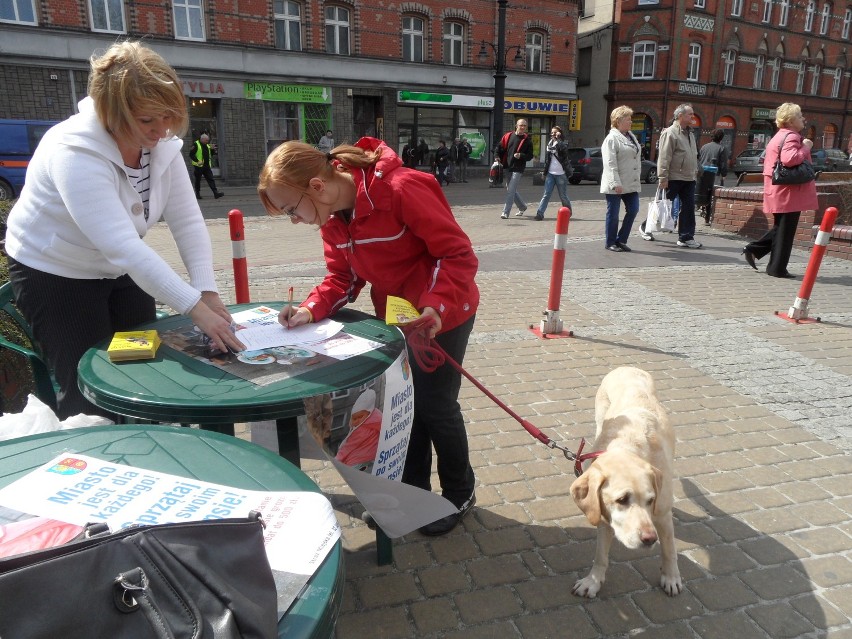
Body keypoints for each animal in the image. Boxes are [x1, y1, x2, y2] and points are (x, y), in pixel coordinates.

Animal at [568, 368, 684, 596]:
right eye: (621, 500)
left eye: (651, 500)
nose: (650, 539)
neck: (628, 446)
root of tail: (626, 367)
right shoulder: (603, 516)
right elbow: (600, 555)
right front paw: (593, 581)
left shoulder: (662, 515)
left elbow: (669, 550)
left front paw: (671, 577)